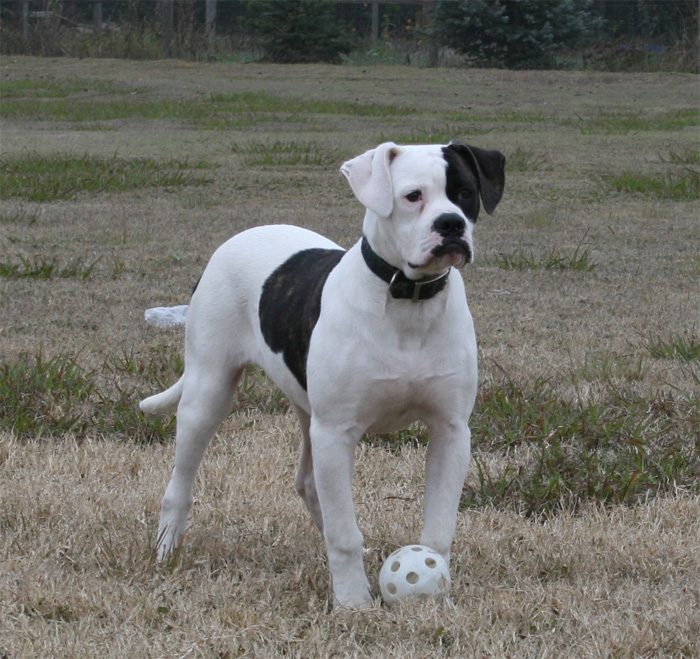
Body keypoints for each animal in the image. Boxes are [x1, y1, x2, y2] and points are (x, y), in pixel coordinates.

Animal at [141, 142, 504, 612]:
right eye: (413, 196)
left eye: (465, 193)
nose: (451, 225)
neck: (407, 299)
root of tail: (241, 236)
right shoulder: (337, 432)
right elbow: (344, 531)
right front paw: (353, 603)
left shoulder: (451, 432)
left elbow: (438, 528)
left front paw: (433, 593)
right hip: (209, 392)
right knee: (181, 482)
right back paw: (167, 548)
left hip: (307, 411)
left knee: (310, 484)